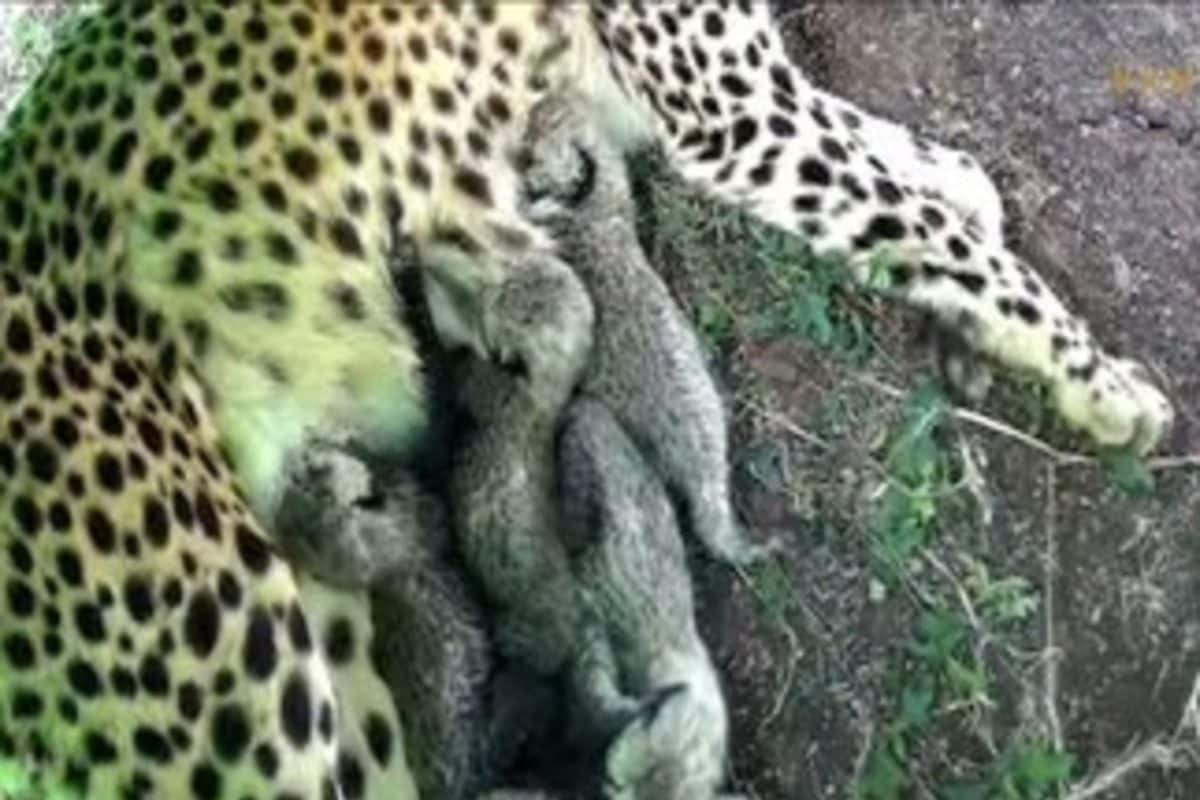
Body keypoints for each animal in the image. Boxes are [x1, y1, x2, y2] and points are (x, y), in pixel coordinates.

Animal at [0, 1, 1174, 799]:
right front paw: (1107, 387)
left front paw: (975, 313)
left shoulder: (721, 106)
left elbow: (945, 180)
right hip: (247, 685)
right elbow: (945, 231)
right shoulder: (733, 121)